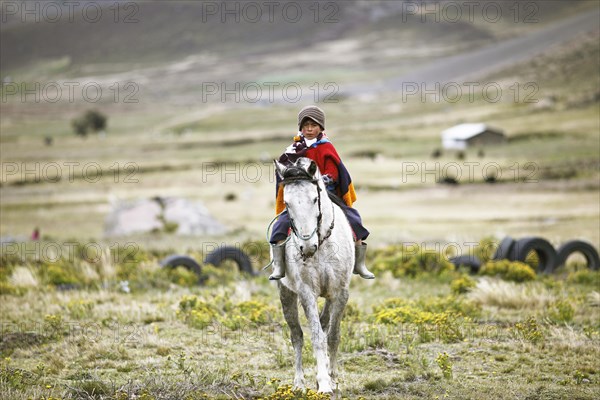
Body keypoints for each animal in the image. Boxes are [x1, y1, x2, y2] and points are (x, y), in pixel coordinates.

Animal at [274, 157, 354, 394]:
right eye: (287, 203)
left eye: (315, 198)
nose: (307, 246)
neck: (323, 245)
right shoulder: (306, 293)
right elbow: (317, 336)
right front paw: (324, 383)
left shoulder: (339, 293)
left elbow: (333, 336)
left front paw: (332, 379)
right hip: (286, 294)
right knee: (297, 336)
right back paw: (299, 383)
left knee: (325, 325)